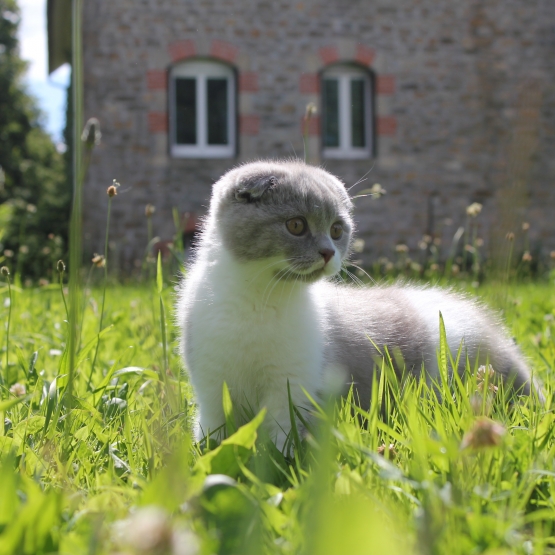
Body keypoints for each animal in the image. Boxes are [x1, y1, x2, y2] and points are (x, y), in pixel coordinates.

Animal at [177, 160, 540, 448]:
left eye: (337, 230)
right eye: (296, 225)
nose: (328, 252)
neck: (259, 296)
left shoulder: (292, 384)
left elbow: (281, 435)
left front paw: (279, 465)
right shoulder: (211, 384)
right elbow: (215, 432)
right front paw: (208, 455)